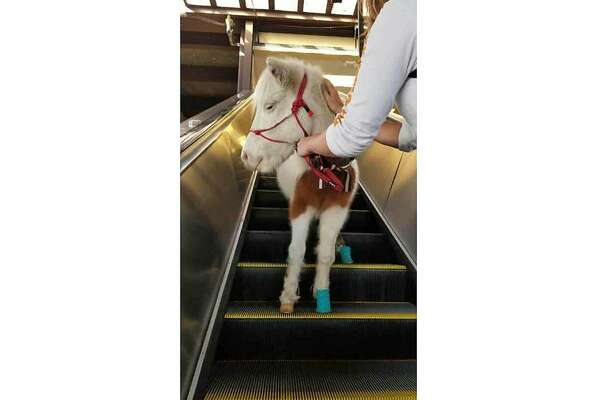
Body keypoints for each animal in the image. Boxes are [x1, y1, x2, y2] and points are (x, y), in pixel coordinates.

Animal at [240, 57, 360, 312]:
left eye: (270, 106)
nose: (247, 156)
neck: (324, 172)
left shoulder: (336, 210)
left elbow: (325, 254)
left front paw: (321, 292)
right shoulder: (300, 207)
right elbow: (296, 251)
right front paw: (288, 296)